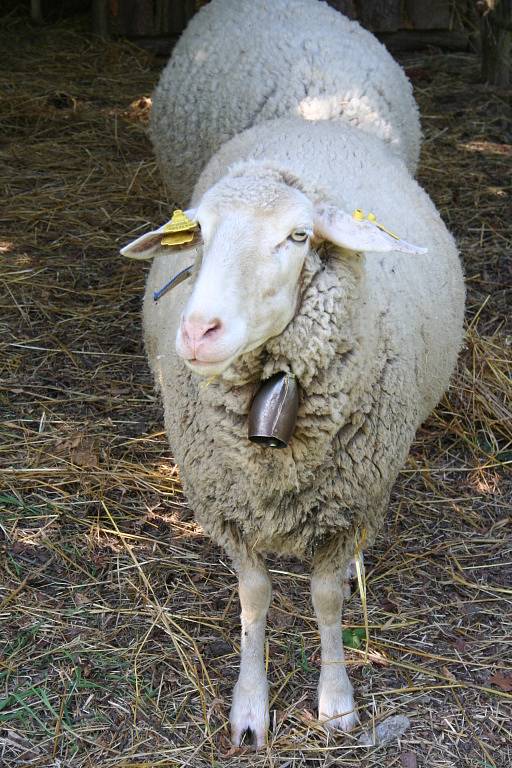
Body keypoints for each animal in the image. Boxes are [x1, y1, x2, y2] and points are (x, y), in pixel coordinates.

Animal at [122, 117, 466, 748]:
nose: (199, 331)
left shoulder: (349, 505)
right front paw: (250, 708)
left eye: (299, 235)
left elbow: (326, 602)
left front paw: (336, 703)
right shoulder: (230, 509)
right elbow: (254, 600)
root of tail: (309, 119)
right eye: (199, 232)